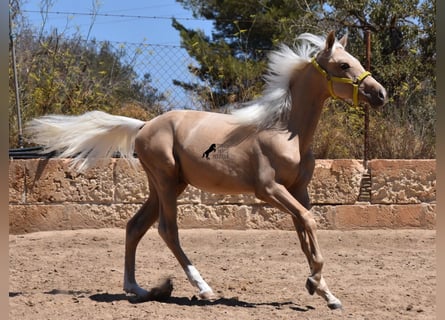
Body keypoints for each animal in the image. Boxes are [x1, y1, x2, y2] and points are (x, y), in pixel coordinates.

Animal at [26, 31, 386, 308]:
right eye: (343, 64)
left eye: (355, 59)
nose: (379, 94)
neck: (285, 131)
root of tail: (143, 126)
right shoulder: (269, 190)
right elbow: (309, 222)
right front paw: (314, 283)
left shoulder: (298, 190)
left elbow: (305, 233)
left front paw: (325, 292)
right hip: (166, 182)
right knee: (166, 230)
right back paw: (204, 288)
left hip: (169, 184)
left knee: (135, 226)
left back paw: (137, 288)